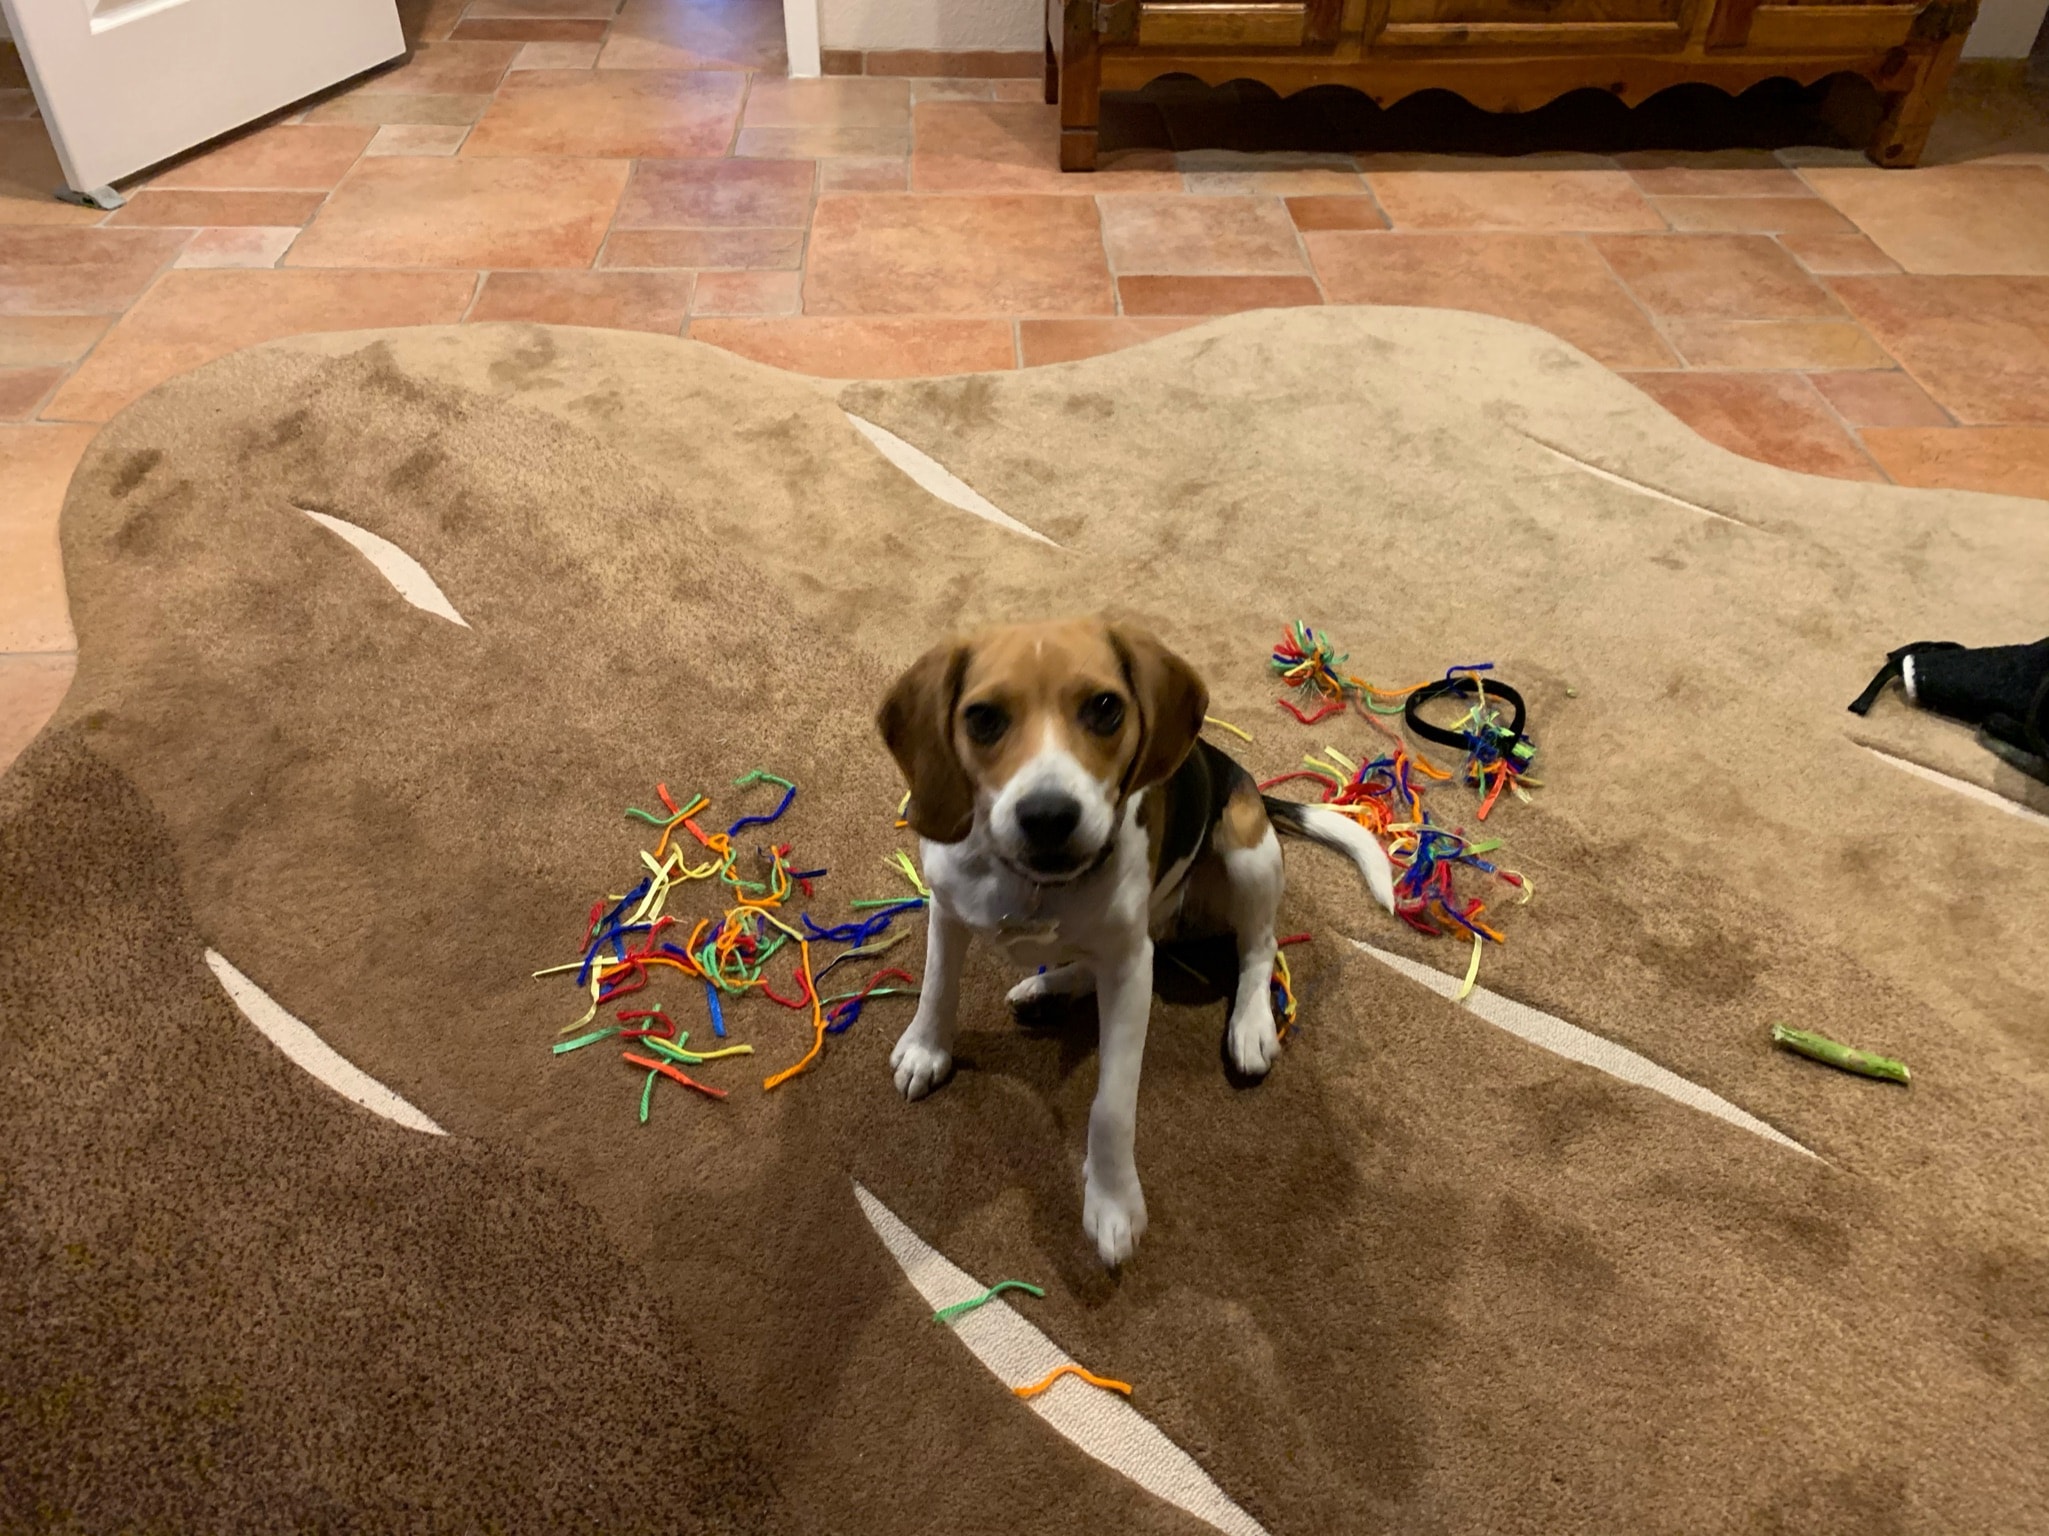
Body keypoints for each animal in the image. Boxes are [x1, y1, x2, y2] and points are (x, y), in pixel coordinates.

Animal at [881, 618, 1393, 1269]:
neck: (1036, 884)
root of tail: (1241, 776)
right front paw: (927, 1049)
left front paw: (1113, 1203)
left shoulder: (1128, 975)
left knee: (1258, 947)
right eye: (984, 718)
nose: (1048, 816)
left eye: (1105, 709)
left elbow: (1111, 1106)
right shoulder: (947, 907)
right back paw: (1049, 987)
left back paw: (1251, 1024)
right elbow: (937, 987)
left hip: (1246, 847)